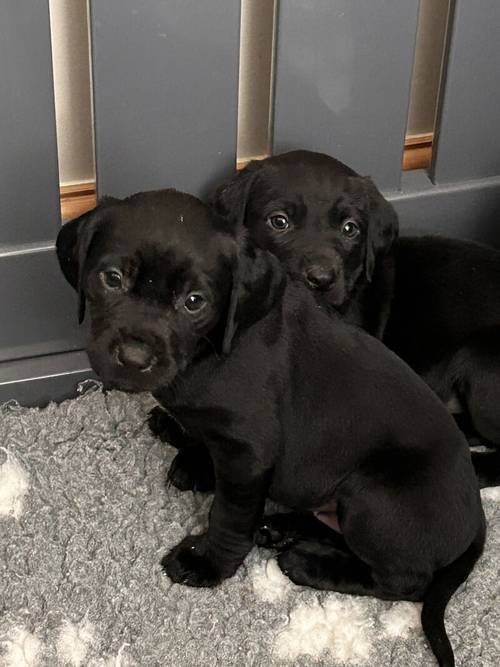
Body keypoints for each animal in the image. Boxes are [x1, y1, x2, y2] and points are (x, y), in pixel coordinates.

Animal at [57, 188, 484, 667]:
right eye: (111, 278)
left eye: (194, 301)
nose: (133, 358)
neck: (209, 351)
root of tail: (477, 517)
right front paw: (182, 437)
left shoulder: (248, 454)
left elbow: (228, 516)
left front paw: (208, 564)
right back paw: (283, 530)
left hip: (376, 497)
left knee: (405, 580)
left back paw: (310, 565)